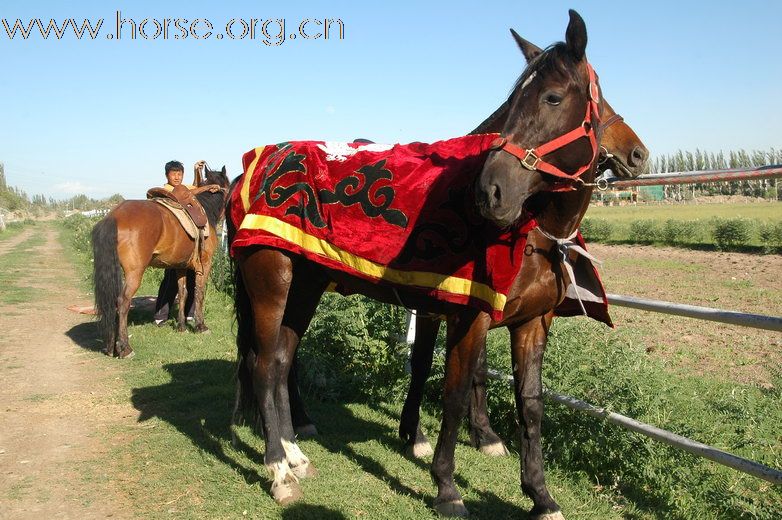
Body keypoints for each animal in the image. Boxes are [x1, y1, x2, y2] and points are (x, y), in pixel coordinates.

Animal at [92, 167, 231, 358]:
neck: (205, 211)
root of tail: (114, 216)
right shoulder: (204, 265)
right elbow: (199, 293)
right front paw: (200, 326)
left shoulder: (180, 267)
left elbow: (183, 293)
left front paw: (181, 326)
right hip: (135, 273)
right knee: (123, 302)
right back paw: (125, 348)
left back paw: (111, 345)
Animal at [230, 10, 608, 516]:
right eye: (513, 102)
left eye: (551, 97)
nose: (491, 191)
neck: (534, 231)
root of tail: (253, 169)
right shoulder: (468, 317)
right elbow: (453, 393)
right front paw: (446, 486)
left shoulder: (531, 323)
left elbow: (530, 404)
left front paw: (540, 495)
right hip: (271, 282)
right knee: (264, 365)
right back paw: (278, 470)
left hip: (304, 286)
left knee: (283, 359)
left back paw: (295, 454)